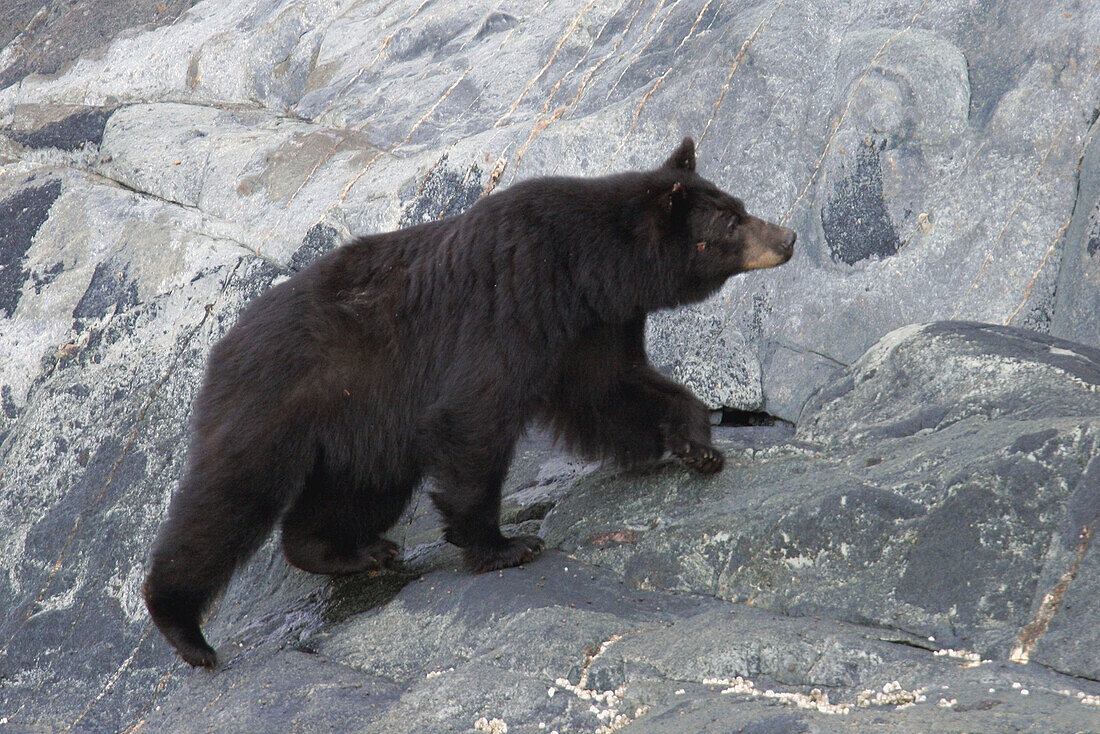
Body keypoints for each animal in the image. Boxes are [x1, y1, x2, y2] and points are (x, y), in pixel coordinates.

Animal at [148, 136, 800, 664]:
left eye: (740, 206)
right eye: (731, 223)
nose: (788, 236)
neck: (586, 267)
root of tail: (221, 344)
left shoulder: (590, 327)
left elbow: (613, 390)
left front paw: (698, 446)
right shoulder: (513, 302)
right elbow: (475, 418)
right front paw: (504, 544)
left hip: (363, 428)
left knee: (352, 494)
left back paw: (356, 553)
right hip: (277, 400)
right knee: (228, 500)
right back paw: (186, 630)